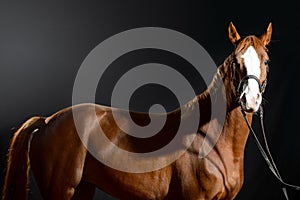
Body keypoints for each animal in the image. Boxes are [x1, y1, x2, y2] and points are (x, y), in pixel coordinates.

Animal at [1, 22, 272, 200]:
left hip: (82, 190)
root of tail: (47, 121)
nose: (251, 99)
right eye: (236, 60)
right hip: (61, 192)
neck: (210, 139)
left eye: (266, 61)